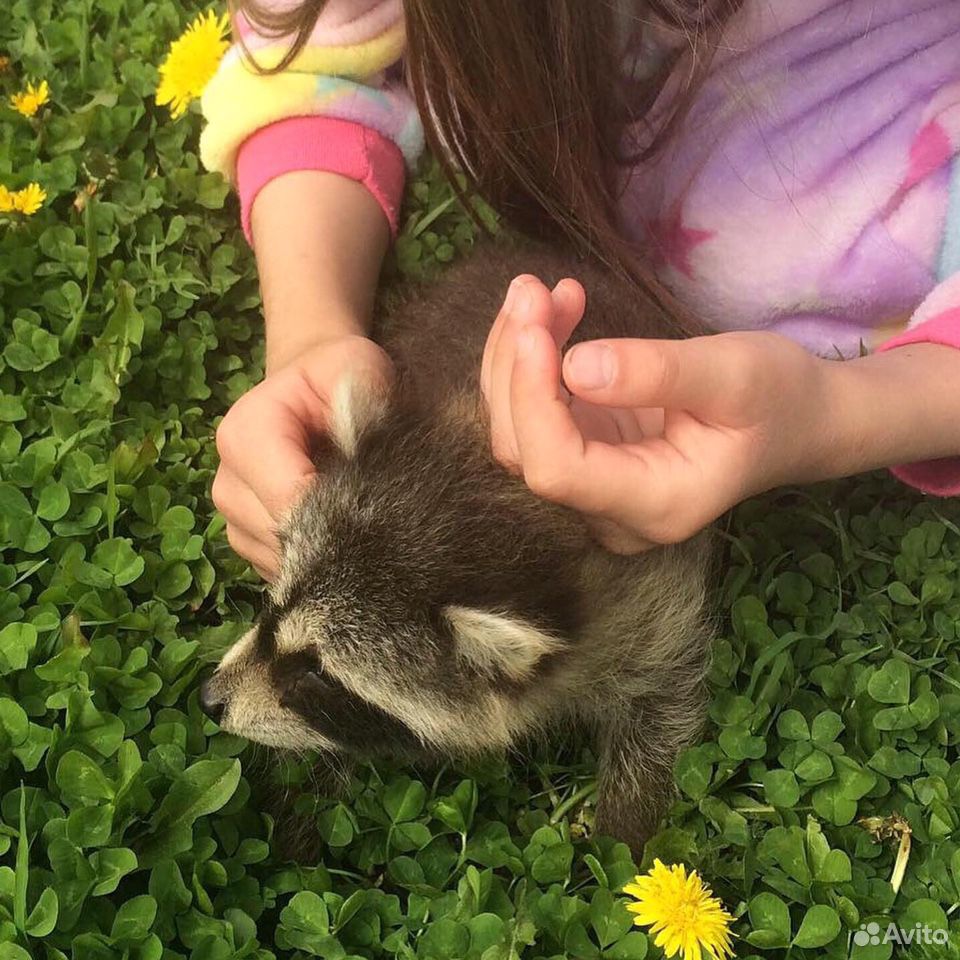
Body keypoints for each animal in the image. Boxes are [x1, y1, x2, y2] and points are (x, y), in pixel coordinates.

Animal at [201, 242, 712, 856]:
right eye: (271, 607)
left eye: (316, 673)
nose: (208, 699)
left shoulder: (653, 594)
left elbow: (663, 705)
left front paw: (622, 839)